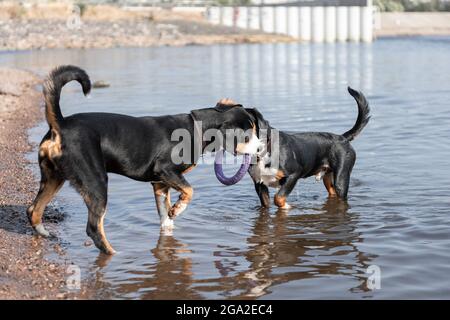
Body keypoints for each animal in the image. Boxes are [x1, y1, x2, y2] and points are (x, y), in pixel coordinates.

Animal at [26, 65, 260, 255]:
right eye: (247, 136)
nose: (260, 149)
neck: (196, 128)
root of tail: (61, 125)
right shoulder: (166, 171)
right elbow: (190, 191)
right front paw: (178, 208)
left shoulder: (160, 184)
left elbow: (165, 218)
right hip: (96, 183)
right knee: (93, 227)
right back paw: (113, 253)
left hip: (54, 178)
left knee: (34, 210)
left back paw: (45, 234)